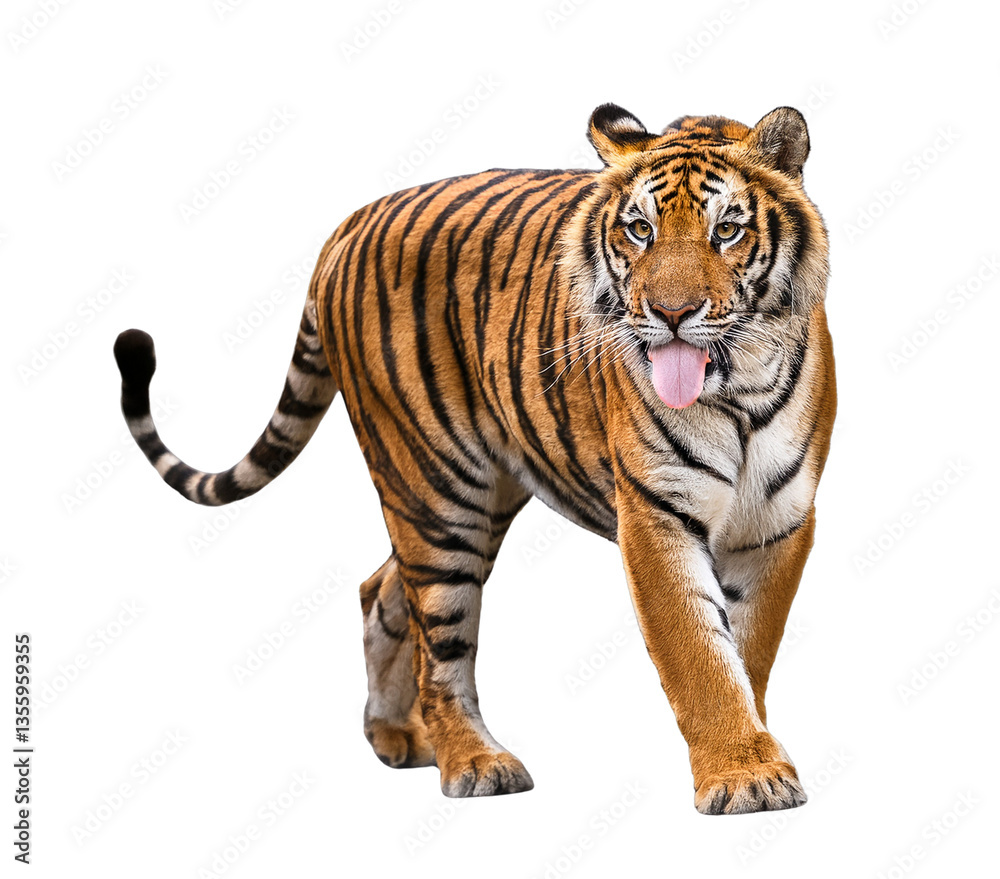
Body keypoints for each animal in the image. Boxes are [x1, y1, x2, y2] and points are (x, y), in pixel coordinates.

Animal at [113, 103, 836, 815]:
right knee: (441, 645)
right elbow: (700, 654)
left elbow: (746, 650)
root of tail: (351, 222)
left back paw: (397, 736)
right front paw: (744, 775)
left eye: (728, 230)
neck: (740, 385)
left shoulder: (778, 522)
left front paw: (753, 753)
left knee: (381, 589)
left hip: (481, 493)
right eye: (639, 230)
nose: (672, 312)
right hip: (437, 492)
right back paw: (473, 761)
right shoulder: (656, 514)